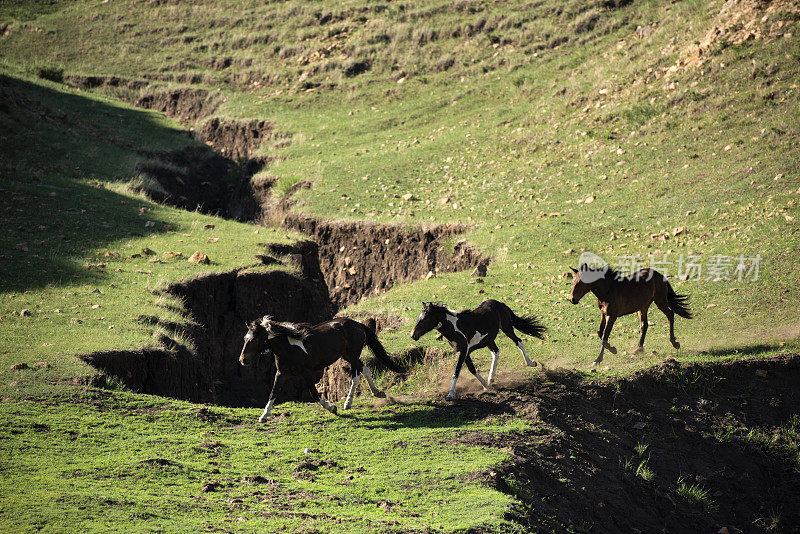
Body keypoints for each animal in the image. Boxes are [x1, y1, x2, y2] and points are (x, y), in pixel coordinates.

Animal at [236, 316, 400, 420]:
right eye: (245, 338)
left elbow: (314, 394)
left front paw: (332, 408)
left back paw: (348, 403)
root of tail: (358, 324)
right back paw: (376, 393)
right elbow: (273, 392)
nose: (243, 360)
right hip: (346, 355)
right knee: (364, 369)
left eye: (255, 339)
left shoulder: (307, 373)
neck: (289, 348)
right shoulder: (281, 373)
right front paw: (264, 416)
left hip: (353, 355)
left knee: (357, 373)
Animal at [410, 300, 548, 400]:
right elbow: (472, 369)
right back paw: (491, 378)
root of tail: (500, 303)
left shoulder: (463, 351)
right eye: (417, 317)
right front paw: (486, 386)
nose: (413, 335)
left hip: (507, 327)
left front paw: (450, 395)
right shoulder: (464, 352)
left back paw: (532, 363)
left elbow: (457, 372)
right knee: (496, 352)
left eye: (425, 318)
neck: (456, 328)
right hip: (489, 340)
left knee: (518, 342)